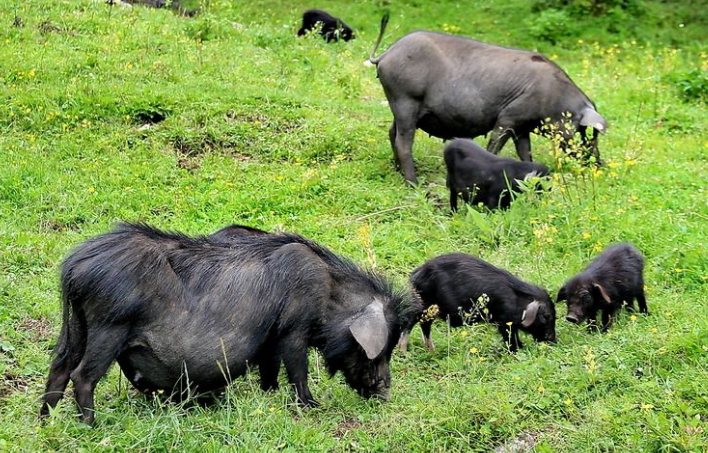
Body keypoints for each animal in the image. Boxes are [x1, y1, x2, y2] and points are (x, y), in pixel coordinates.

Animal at [368, 14, 604, 184]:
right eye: (583, 131)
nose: (600, 164)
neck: (554, 100)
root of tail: (386, 54)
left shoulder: (522, 127)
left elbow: (525, 152)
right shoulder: (508, 118)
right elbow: (495, 146)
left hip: (401, 106)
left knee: (392, 132)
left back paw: (398, 171)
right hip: (405, 99)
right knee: (403, 142)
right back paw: (413, 184)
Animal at [402, 251, 556, 354]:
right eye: (546, 316)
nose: (553, 340)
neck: (517, 299)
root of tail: (416, 275)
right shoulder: (504, 321)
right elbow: (510, 337)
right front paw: (517, 350)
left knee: (424, 325)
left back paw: (431, 350)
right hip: (425, 305)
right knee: (411, 322)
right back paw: (404, 351)